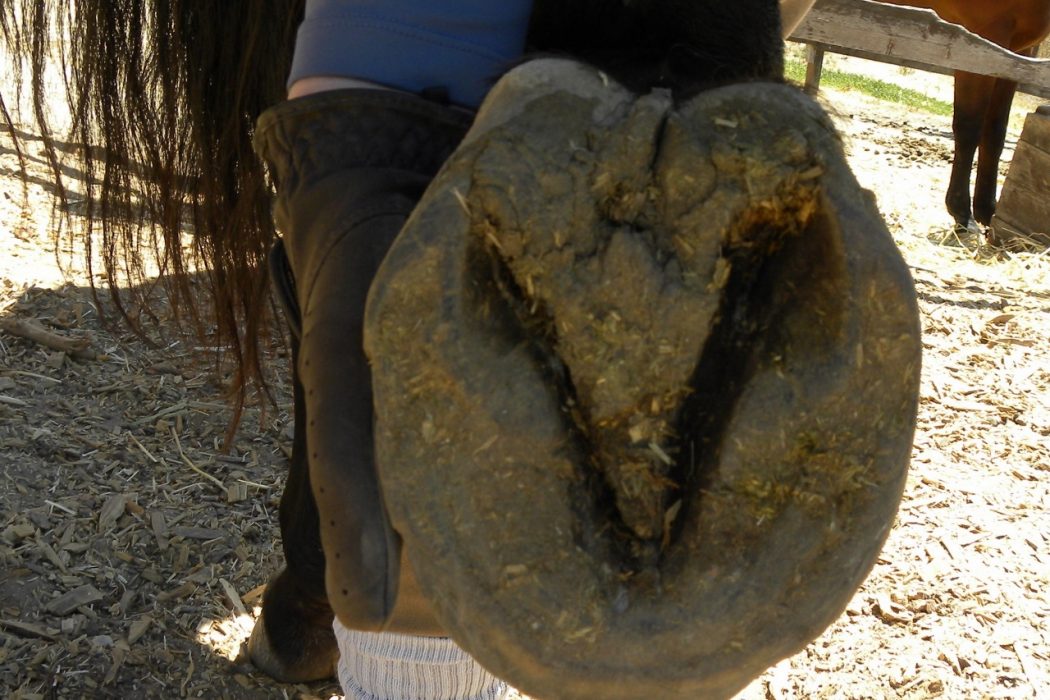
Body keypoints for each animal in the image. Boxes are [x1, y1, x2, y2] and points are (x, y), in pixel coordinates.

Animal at [880, 0, 1050, 229]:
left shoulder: (1018, 53)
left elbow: (995, 133)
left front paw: (987, 210)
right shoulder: (979, 42)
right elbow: (969, 128)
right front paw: (959, 207)